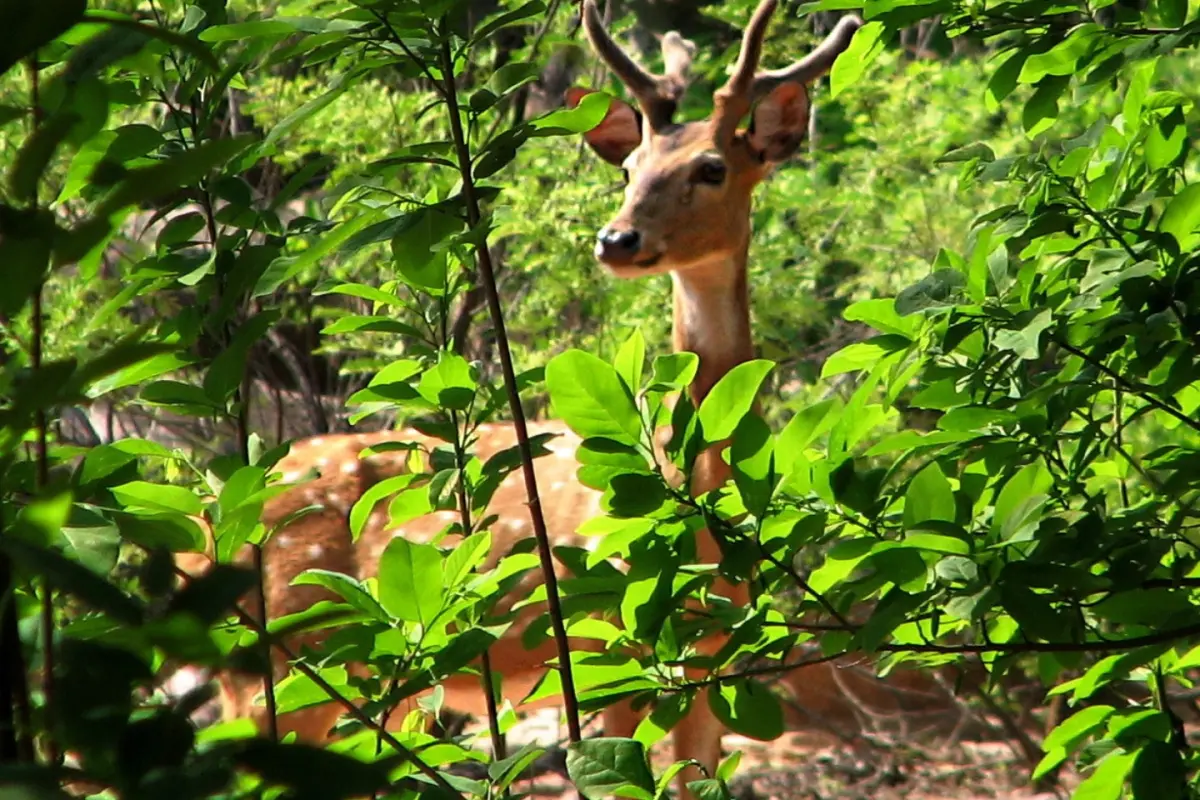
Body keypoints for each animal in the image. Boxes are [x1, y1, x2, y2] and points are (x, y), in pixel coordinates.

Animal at [176, 2, 865, 796]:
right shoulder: (607, 643)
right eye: (629, 169)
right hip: (278, 659)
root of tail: (205, 522)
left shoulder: (713, 653)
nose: (616, 239)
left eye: (712, 167)